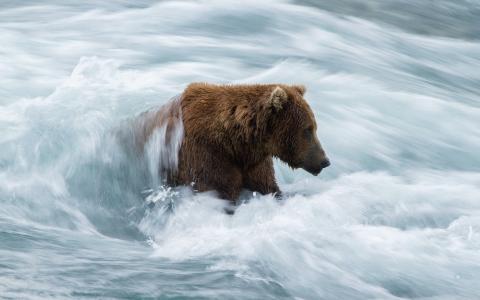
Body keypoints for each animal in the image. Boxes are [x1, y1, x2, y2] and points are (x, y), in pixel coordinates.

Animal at [131, 83, 330, 203]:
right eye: (308, 129)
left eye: (314, 126)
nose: (325, 161)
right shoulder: (207, 156)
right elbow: (219, 190)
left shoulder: (254, 164)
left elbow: (269, 187)